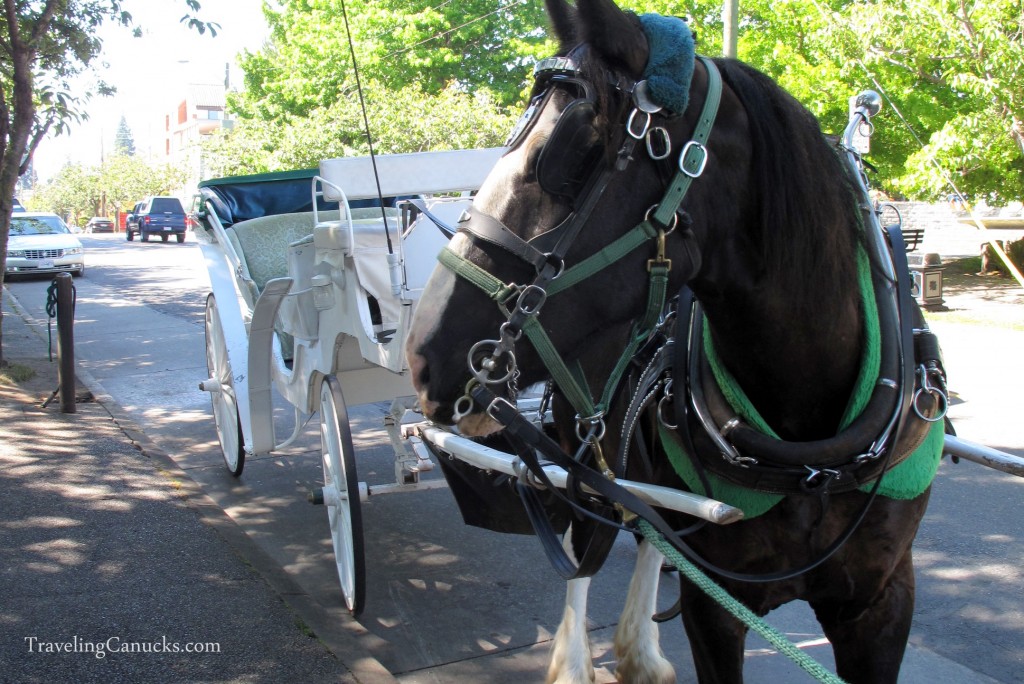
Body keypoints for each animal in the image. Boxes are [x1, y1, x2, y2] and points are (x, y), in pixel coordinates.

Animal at [406, 0, 945, 682]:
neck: (813, 455)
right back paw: (580, 658)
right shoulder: (714, 609)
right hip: (580, 439)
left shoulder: (882, 603)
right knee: (593, 535)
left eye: (575, 149)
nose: (422, 354)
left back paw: (640, 651)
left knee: (647, 524)